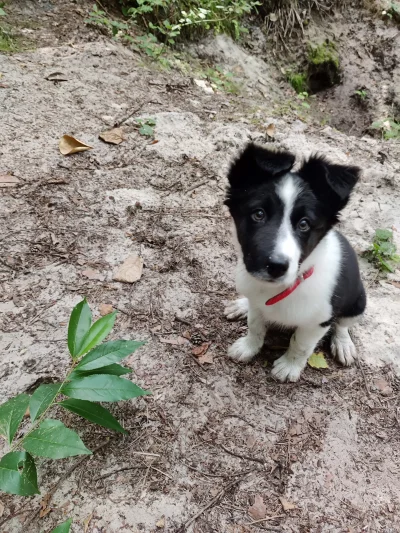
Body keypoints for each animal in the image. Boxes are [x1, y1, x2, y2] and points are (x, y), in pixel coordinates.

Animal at [223, 143, 368, 380]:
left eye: (304, 224)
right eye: (258, 214)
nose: (276, 266)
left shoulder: (319, 321)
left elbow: (301, 345)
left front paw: (289, 367)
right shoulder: (257, 302)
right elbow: (255, 326)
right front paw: (248, 347)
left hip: (358, 301)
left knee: (343, 324)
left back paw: (343, 344)